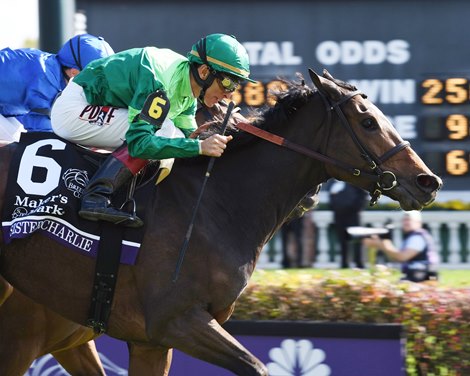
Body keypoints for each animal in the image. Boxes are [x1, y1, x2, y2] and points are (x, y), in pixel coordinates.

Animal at [0, 70, 440, 374]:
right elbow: (256, 366)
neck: (216, 201)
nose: (428, 181)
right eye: (368, 122)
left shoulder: (145, 341)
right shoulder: (175, 321)